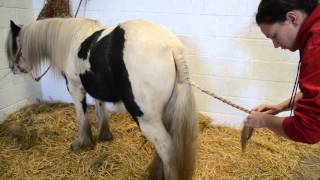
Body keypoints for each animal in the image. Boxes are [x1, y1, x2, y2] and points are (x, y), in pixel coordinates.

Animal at [5, 17, 198, 179]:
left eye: (14, 46)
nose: (12, 69)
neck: (71, 40)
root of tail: (172, 47)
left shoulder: (75, 89)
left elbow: (82, 118)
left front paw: (82, 143)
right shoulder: (96, 89)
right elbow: (100, 111)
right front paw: (104, 136)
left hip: (147, 118)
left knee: (166, 147)